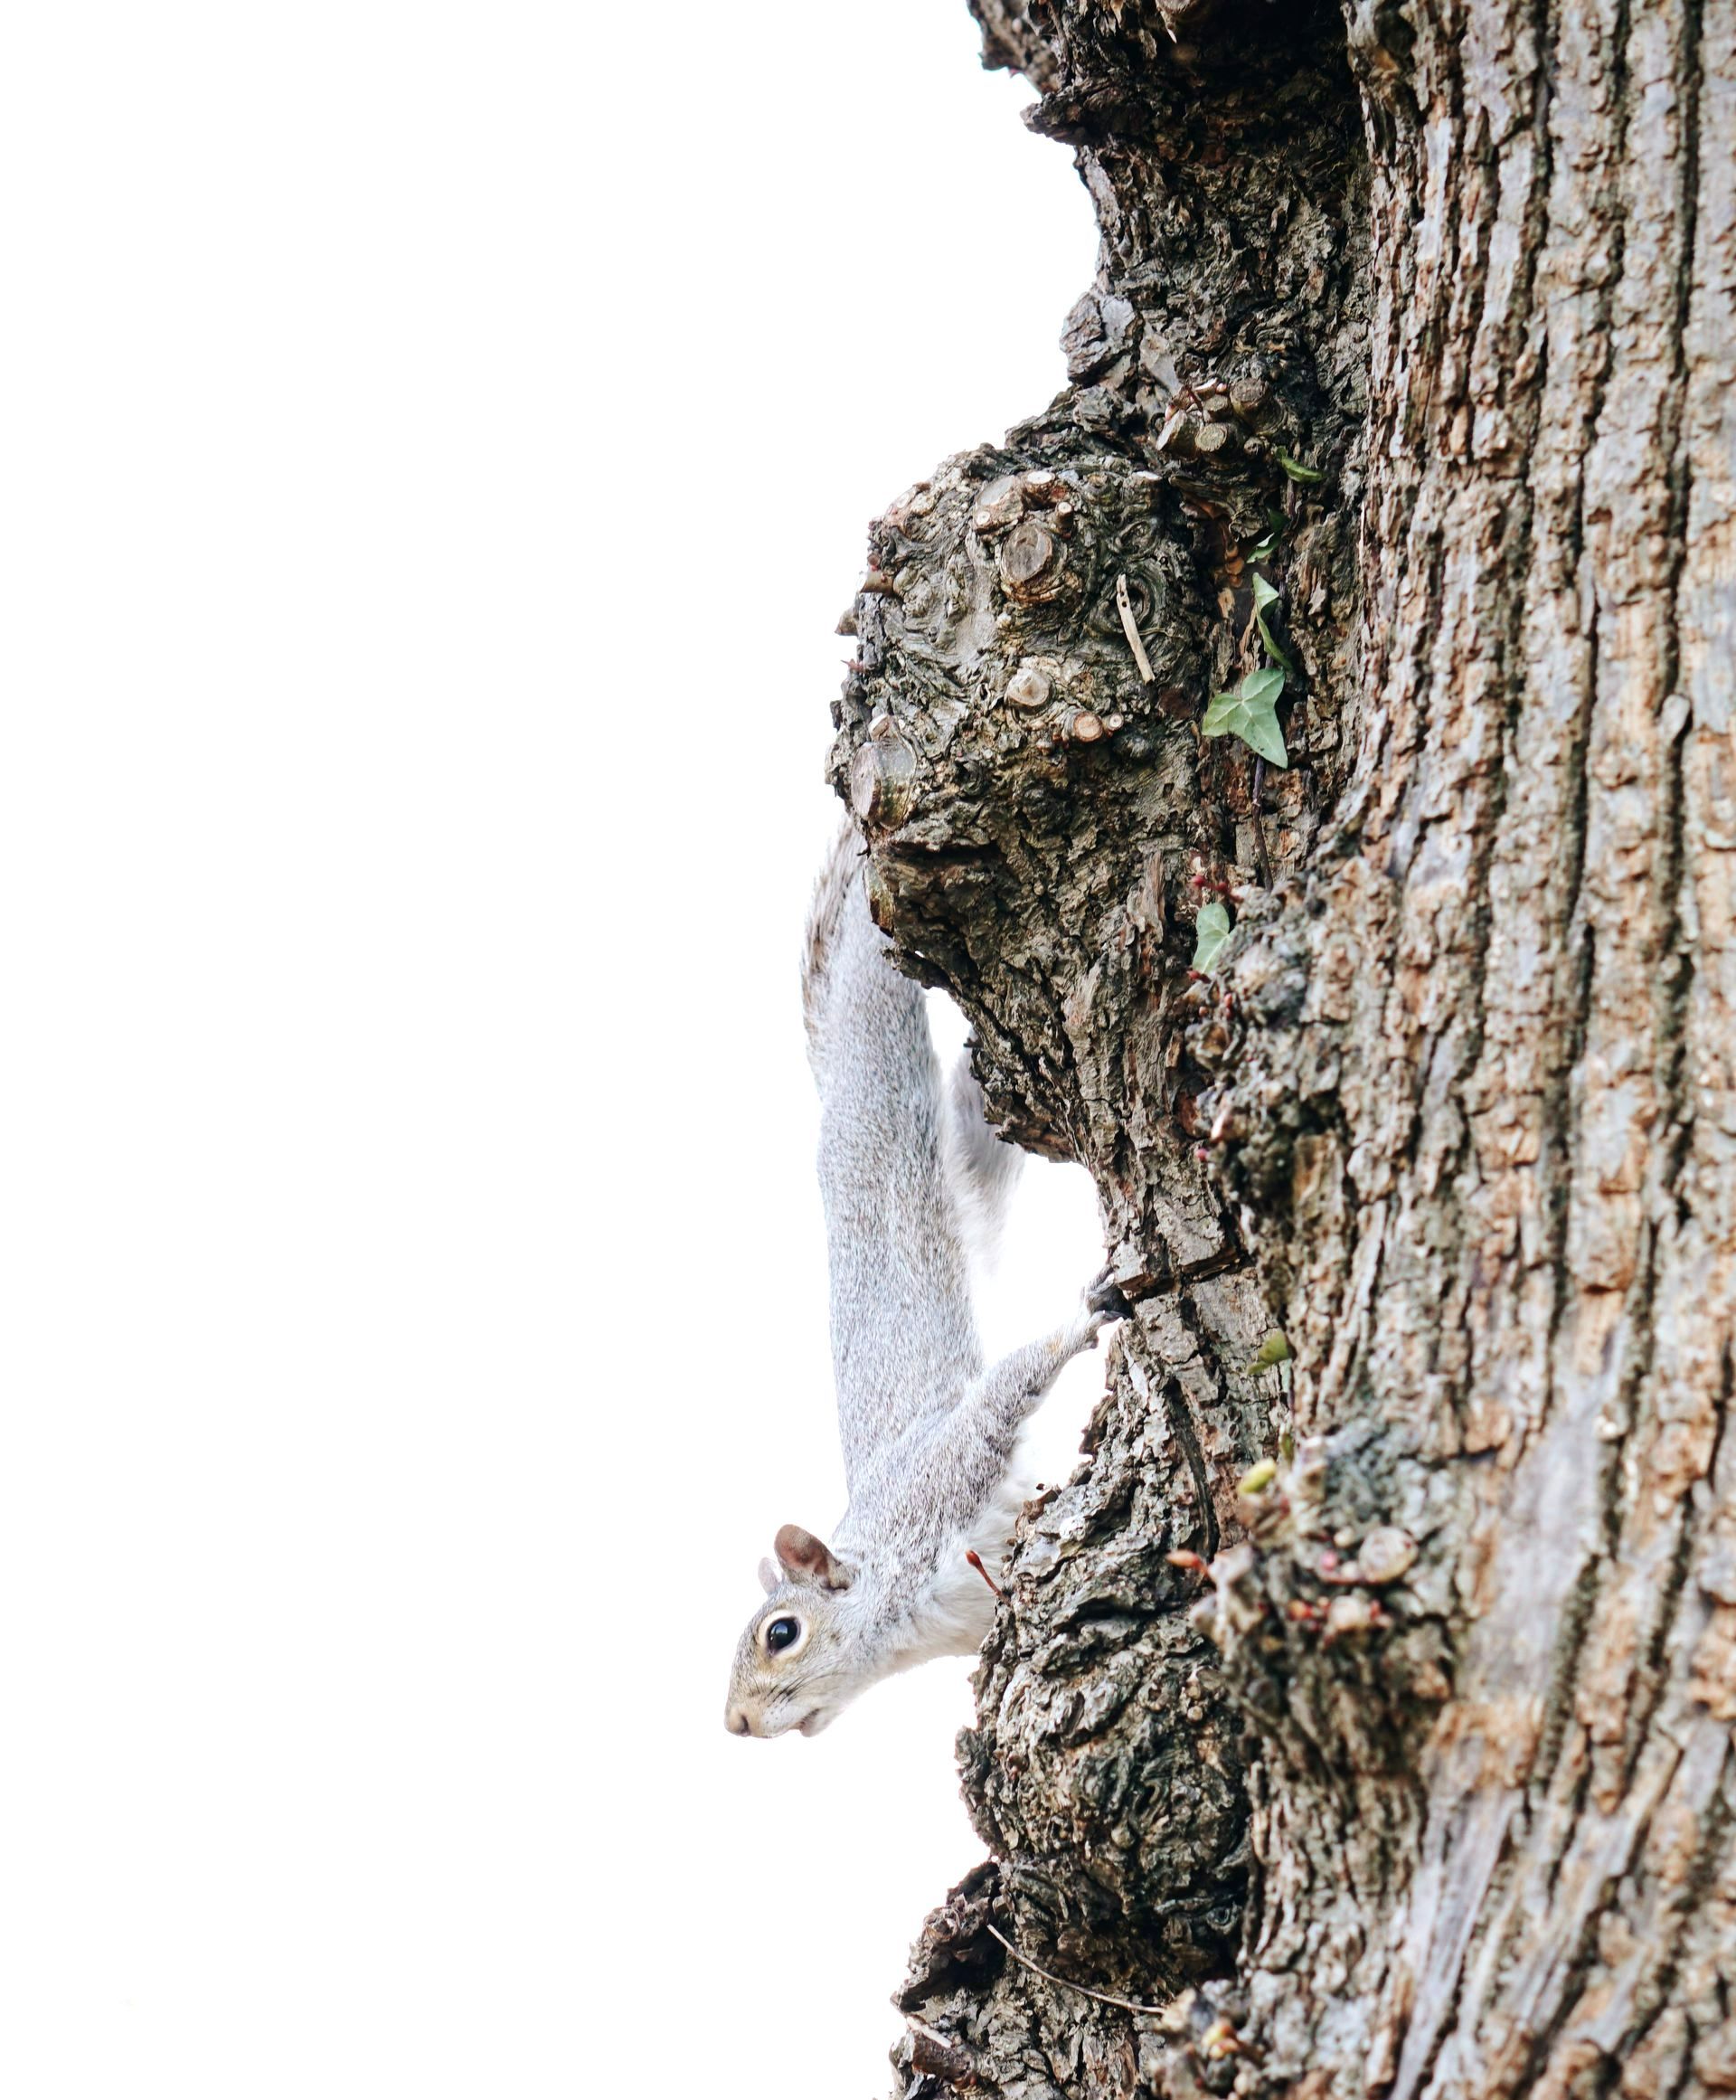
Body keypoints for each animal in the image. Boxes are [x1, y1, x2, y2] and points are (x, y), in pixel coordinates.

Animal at [724, 829, 1127, 1739]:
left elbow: (1005, 1392)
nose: (734, 1724)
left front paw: (1084, 1317)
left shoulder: (942, 1482)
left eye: (781, 1633)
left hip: (908, 1150)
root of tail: (839, 1099)